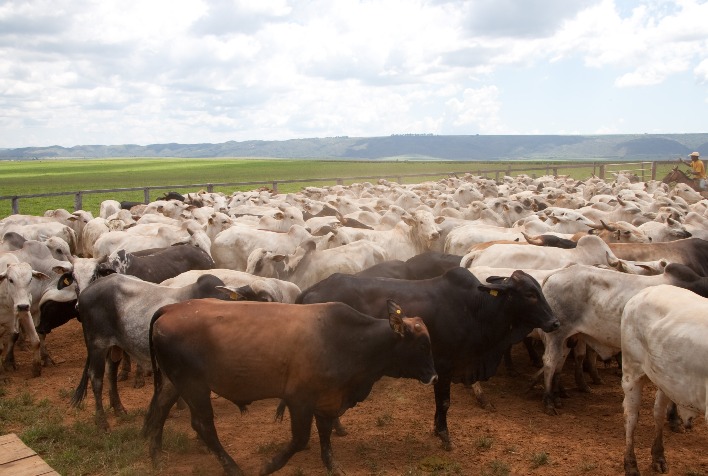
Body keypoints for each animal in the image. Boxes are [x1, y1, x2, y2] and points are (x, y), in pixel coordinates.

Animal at [141, 302, 434, 476]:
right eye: (421, 344)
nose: (434, 375)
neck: (346, 339)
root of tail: (171, 307)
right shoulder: (299, 400)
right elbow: (301, 439)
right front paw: (269, 465)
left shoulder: (327, 399)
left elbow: (325, 433)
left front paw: (332, 465)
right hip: (194, 386)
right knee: (203, 425)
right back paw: (232, 466)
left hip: (175, 383)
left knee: (159, 409)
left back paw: (156, 457)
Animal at [296, 268, 560, 450]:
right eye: (530, 294)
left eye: (540, 290)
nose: (555, 322)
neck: (477, 309)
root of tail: (308, 291)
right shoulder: (444, 367)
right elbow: (444, 403)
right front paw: (444, 435)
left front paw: (436, 428)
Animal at [624, 284, 708, 474]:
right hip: (631, 371)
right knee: (631, 416)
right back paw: (630, 465)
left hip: (664, 380)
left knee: (658, 412)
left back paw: (658, 456)